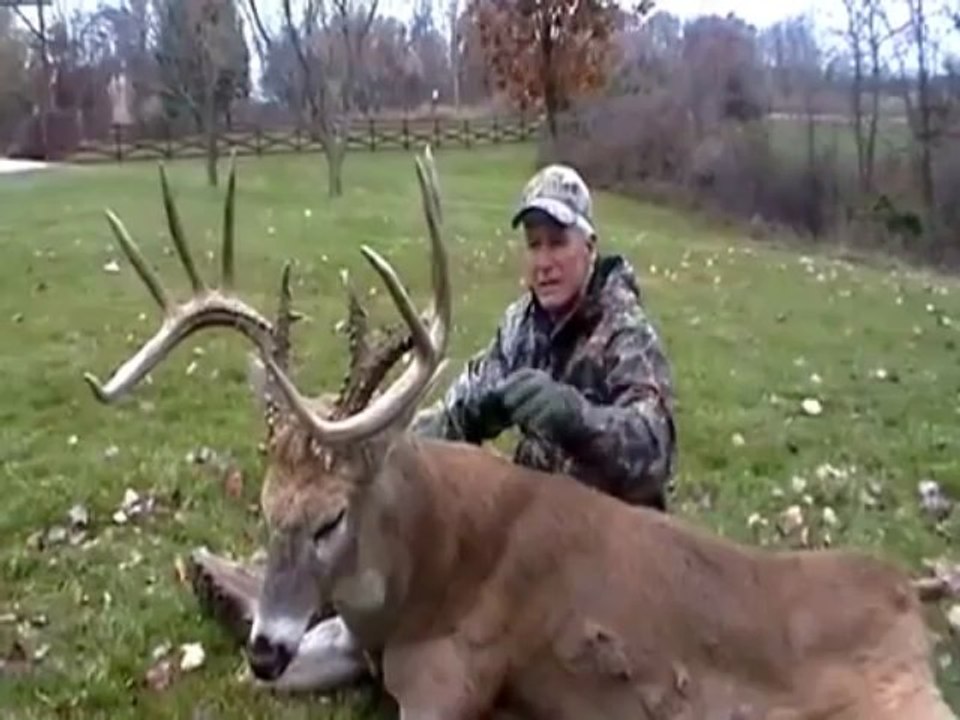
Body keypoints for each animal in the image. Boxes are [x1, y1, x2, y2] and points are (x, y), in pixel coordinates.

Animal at [84, 147, 957, 720]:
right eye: (266, 509)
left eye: (332, 518)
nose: (267, 645)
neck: (426, 564)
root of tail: (905, 588)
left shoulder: (453, 680)